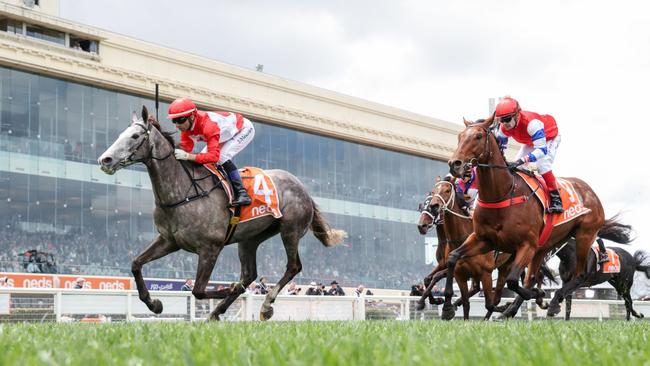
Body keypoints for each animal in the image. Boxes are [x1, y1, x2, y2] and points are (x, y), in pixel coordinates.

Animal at [96, 106, 344, 320]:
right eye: (121, 134)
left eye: (135, 136)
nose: (105, 159)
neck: (183, 192)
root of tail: (303, 187)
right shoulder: (169, 240)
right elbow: (136, 263)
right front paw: (154, 303)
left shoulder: (210, 248)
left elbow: (198, 290)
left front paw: (228, 289)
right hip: (250, 238)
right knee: (249, 274)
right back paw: (218, 311)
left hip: (290, 230)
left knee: (292, 266)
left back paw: (265, 306)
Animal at [440, 115, 616, 320]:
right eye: (460, 136)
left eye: (478, 136)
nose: (455, 164)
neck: (503, 194)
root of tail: (589, 190)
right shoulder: (484, 240)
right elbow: (453, 258)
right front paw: (447, 307)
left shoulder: (526, 245)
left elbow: (513, 281)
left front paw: (539, 296)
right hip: (545, 245)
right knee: (533, 277)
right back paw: (512, 310)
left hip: (584, 236)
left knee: (579, 275)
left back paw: (553, 302)